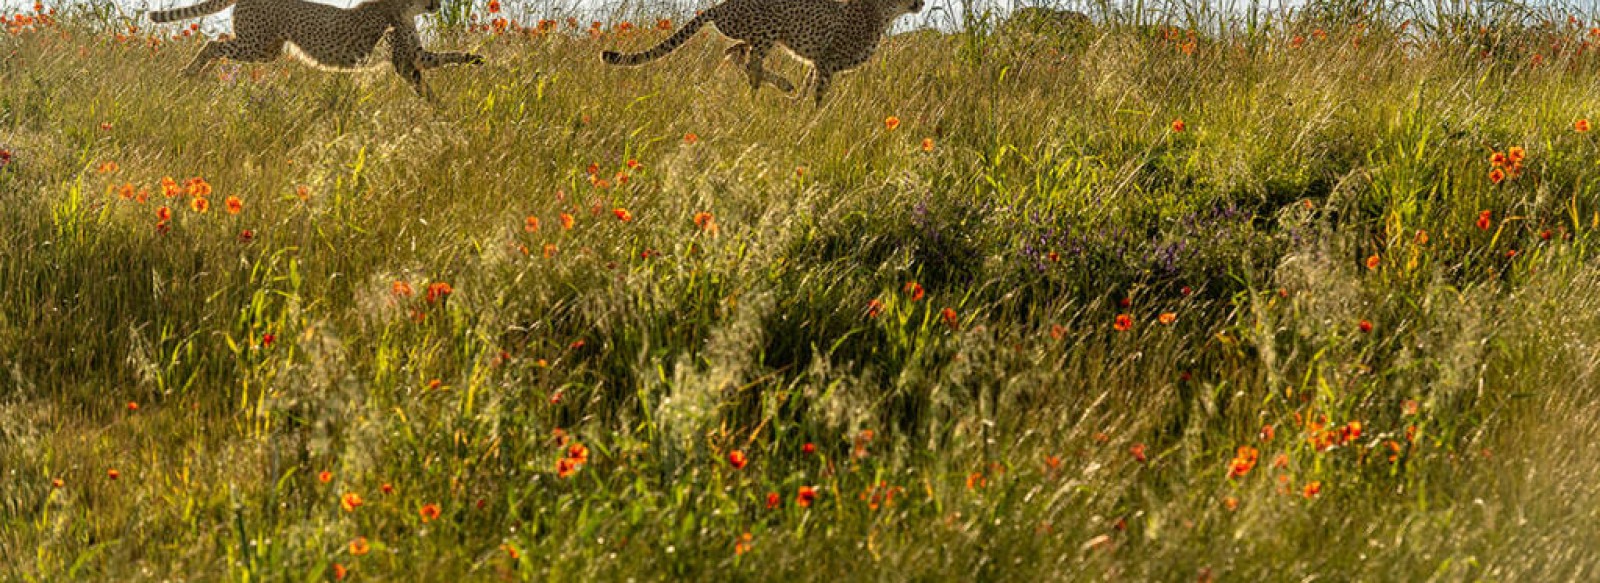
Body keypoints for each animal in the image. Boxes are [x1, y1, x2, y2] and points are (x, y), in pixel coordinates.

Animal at [151, 0, 486, 100]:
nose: (438, 4)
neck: (406, 7)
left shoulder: (415, 55)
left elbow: (441, 59)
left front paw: (473, 58)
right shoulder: (403, 59)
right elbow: (422, 77)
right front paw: (434, 102)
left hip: (266, 49)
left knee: (218, 42)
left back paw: (197, 73)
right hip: (256, 45)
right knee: (212, 44)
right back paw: (190, 71)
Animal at [601, 0, 928, 104]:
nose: (922, 2)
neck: (882, 12)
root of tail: (721, 5)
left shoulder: (819, 62)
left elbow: (809, 83)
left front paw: (797, 104)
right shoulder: (827, 62)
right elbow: (818, 94)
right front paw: (814, 115)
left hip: (753, 37)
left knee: (734, 53)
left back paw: (775, 86)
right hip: (768, 30)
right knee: (749, 62)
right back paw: (773, 85)